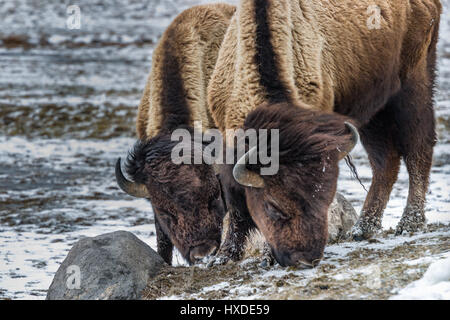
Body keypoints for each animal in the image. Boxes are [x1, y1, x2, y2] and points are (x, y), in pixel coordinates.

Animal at [209, 0, 442, 266]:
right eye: (272, 206)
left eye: (326, 199)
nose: (306, 259)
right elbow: (235, 201)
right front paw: (224, 256)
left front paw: (264, 257)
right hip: (373, 109)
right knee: (386, 162)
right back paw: (363, 228)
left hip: (414, 86)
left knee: (418, 149)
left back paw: (409, 223)